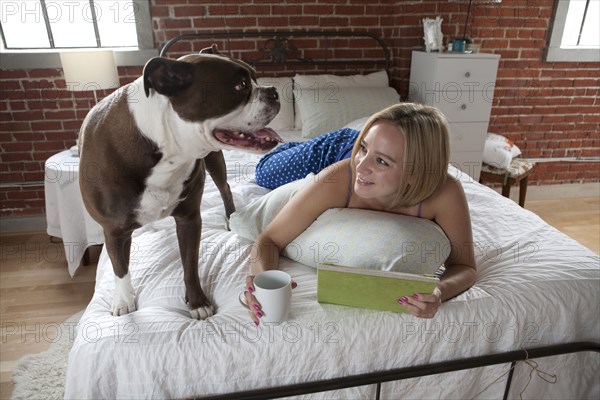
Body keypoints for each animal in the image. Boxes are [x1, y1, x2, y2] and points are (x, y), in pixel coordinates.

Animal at [78, 47, 282, 320]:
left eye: (255, 78)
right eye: (240, 85)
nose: (273, 91)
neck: (164, 148)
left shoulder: (189, 218)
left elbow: (190, 264)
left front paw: (197, 303)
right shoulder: (112, 230)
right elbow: (119, 268)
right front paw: (123, 300)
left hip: (215, 160)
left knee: (225, 188)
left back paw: (230, 217)